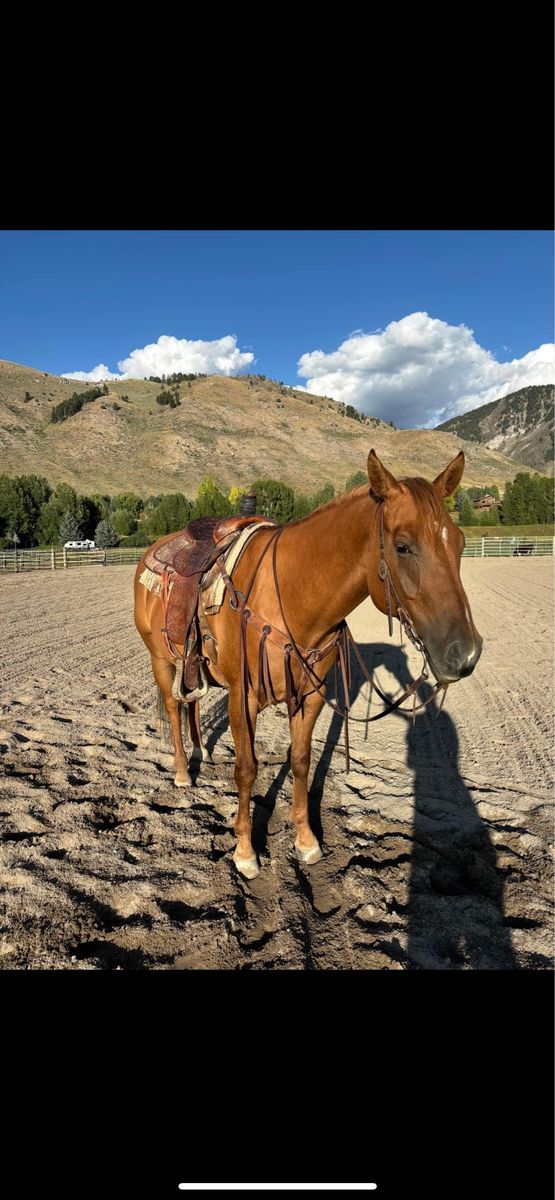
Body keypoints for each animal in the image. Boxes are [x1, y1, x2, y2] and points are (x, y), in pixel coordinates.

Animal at [134, 448, 483, 879]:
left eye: (461, 544)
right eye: (402, 546)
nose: (465, 654)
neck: (291, 594)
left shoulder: (311, 696)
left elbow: (300, 761)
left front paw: (306, 840)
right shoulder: (243, 697)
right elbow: (247, 768)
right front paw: (245, 850)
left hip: (193, 661)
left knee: (193, 702)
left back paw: (203, 753)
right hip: (160, 659)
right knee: (173, 705)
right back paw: (183, 771)